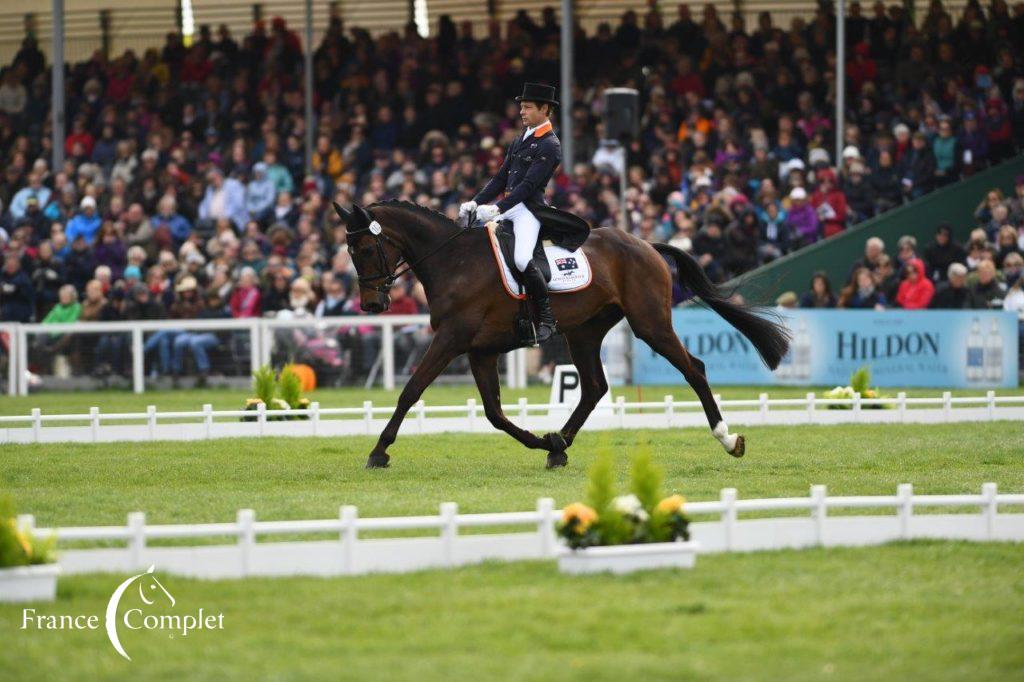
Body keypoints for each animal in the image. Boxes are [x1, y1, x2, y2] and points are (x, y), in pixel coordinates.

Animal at [335, 199, 790, 466]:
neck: (454, 260)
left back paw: (728, 439)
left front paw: (378, 451)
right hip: (585, 332)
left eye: (365, 249)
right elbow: (495, 414)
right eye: (350, 251)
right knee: (594, 387)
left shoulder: (451, 339)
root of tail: (645, 244)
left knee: (694, 369)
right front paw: (541, 442)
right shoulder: (480, 350)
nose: (372, 306)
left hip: (650, 323)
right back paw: (559, 446)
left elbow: (411, 390)